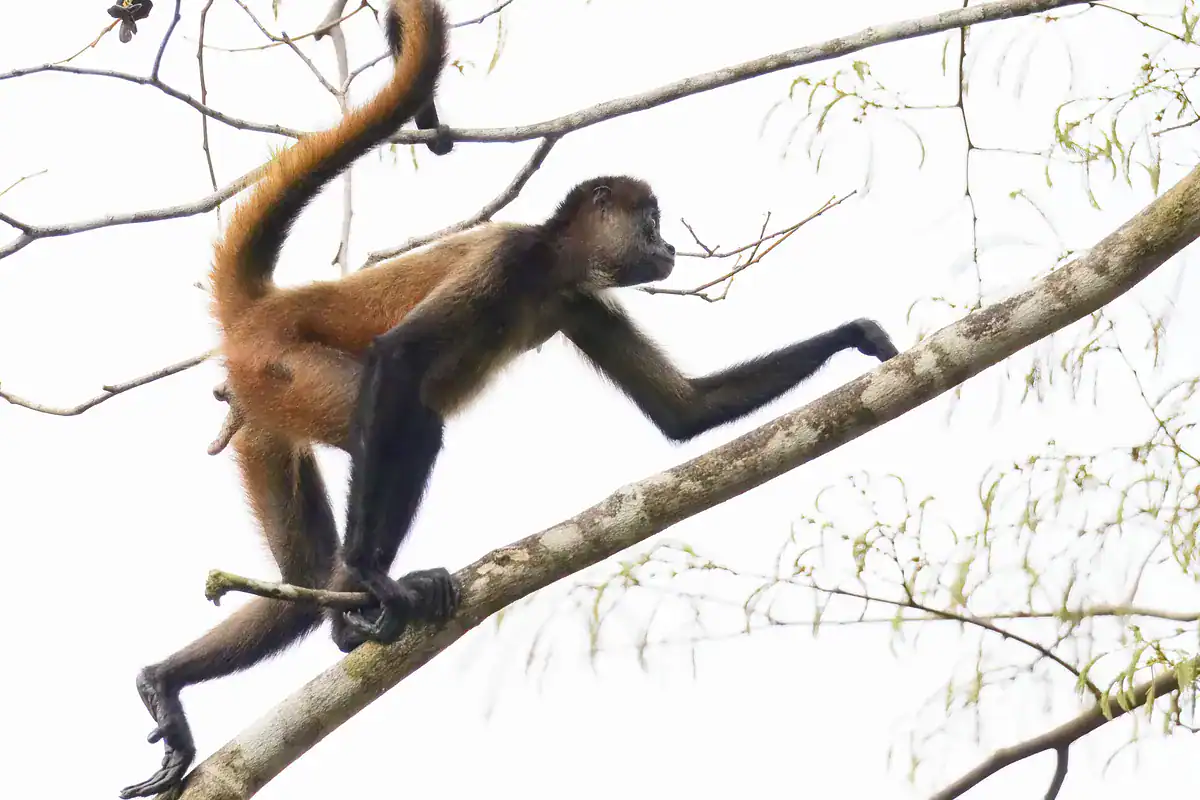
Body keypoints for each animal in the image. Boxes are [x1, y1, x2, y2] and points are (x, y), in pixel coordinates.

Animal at [121, 0, 900, 793]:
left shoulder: (577, 303)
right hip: (290, 370)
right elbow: (398, 356)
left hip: (261, 413)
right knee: (413, 423)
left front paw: (855, 336)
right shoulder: (510, 258)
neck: (549, 270)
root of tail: (268, 309)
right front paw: (367, 575)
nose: (670, 250)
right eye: (653, 222)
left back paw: (170, 679)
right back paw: (358, 603)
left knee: (301, 578)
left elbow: (684, 410)